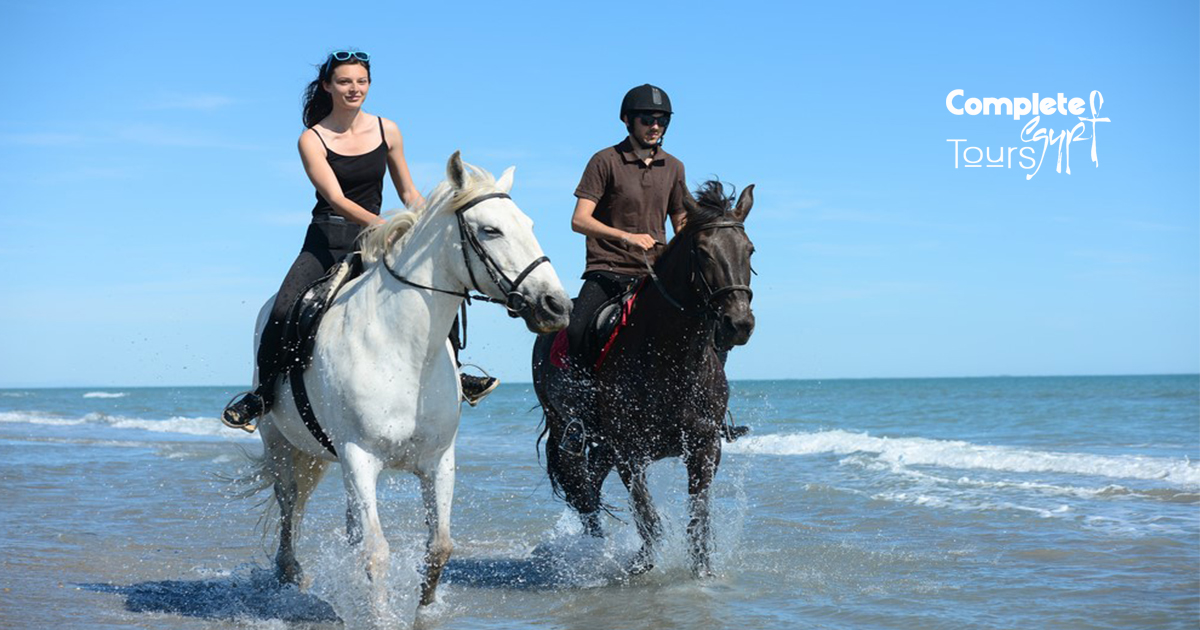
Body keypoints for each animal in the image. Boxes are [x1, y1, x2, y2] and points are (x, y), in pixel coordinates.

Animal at [243, 152, 571, 614]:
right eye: (490, 230)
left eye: (529, 223)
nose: (556, 306)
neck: (403, 351)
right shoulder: (359, 457)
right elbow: (377, 553)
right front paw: (380, 615)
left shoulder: (438, 460)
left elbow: (439, 548)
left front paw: (423, 611)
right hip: (281, 444)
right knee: (289, 502)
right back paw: (290, 574)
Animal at [537, 180, 758, 573]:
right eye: (703, 252)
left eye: (749, 250)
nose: (739, 324)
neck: (670, 361)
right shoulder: (630, 452)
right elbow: (647, 517)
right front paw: (640, 566)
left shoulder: (705, 447)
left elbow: (698, 520)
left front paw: (702, 570)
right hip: (568, 428)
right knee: (583, 494)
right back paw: (593, 551)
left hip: (604, 447)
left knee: (591, 485)